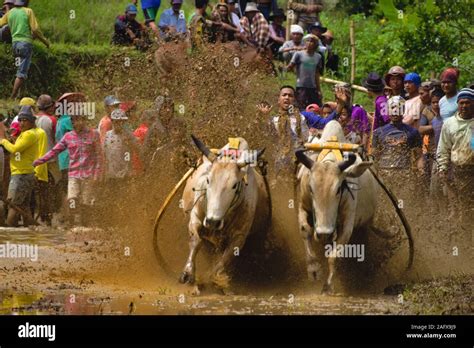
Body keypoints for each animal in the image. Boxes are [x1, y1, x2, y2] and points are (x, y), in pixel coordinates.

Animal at [296, 121, 378, 294]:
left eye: (339, 188)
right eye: (311, 188)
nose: (324, 233)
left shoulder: (347, 224)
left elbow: (334, 256)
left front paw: (328, 286)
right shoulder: (303, 204)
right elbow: (304, 229)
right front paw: (313, 270)